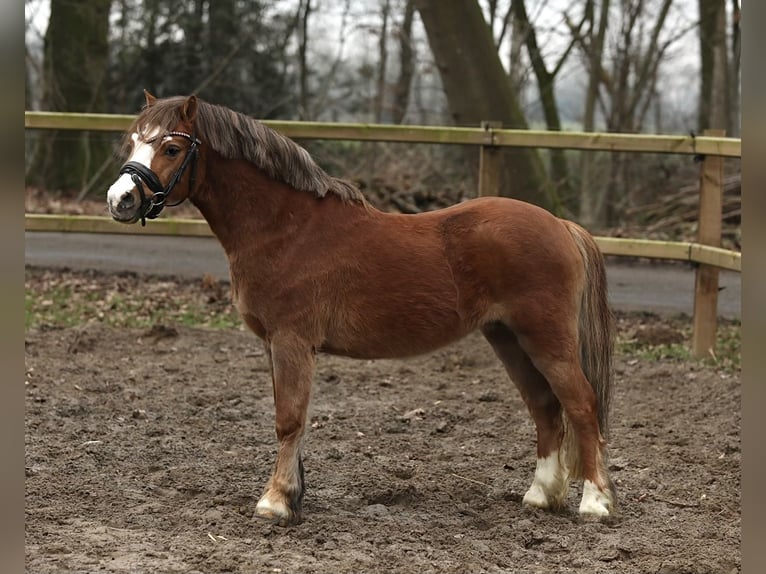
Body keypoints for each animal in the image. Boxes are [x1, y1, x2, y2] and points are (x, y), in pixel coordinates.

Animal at [106, 93, 616, 528]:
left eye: (171, 147)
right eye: (132, 142)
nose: (120, 200)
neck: (285, 229)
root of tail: (561, 225)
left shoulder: (292, 341)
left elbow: (288, 418)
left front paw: (274, 503)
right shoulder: (275, 345)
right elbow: (290, 418)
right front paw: (294, 495)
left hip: (547, 339)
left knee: (580, 404)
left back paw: (594, 503)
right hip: (508, 338)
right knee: (545, 407)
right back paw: (540, 496)